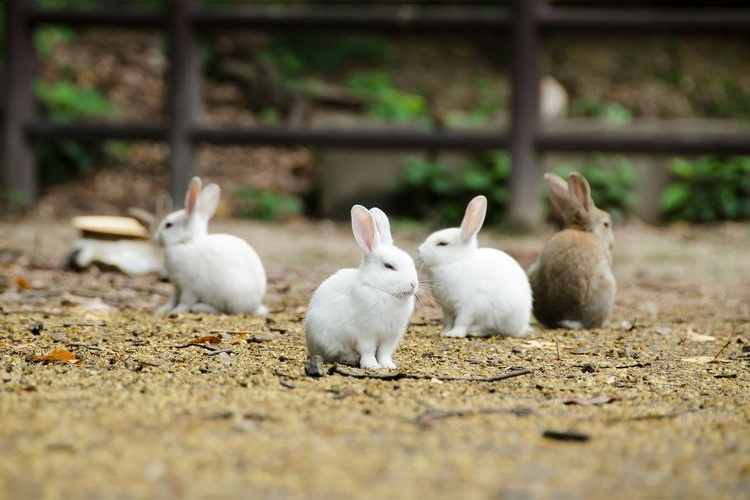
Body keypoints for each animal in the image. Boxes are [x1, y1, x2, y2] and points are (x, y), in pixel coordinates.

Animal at [154, 178, 268, 314]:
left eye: (168, 225)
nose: (155, 238)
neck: (186, 242)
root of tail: (255, 306)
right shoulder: (176, 285)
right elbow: (172, 299)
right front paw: (162, 309)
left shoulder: (189, 286)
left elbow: (185, 301)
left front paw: (176, 311)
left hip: (228, 293)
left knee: (224, 310)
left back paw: (200, 307)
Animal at [306, 205, 424, 370]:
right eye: (389, 266)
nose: (413, 284)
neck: (382, 291)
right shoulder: (366, 334)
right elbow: (368, 351)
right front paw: (372, 366)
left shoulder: (390, 336)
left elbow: (384, 353)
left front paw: (388, 366)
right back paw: (351, 358)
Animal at [418, 195, 536, 340]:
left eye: (442, 244)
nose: (419, 250)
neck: (455, 262)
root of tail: (522, 326)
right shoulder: (447, 308)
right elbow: (449, 321)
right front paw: (445, 332)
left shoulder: (467, 307)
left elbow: (461, 321)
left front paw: (455, 334)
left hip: (501, 316)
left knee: (496, 329)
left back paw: (475, 331)